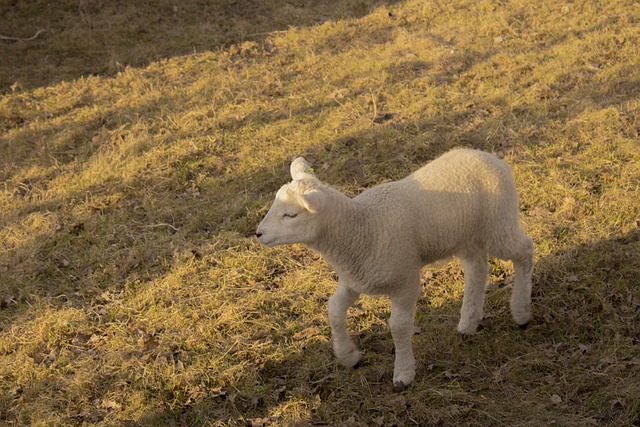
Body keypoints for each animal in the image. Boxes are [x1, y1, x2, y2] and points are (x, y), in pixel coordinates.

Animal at [255, 149, 536, 392]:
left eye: (290, 215)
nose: (258, 233)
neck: (360, 227)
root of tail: (489, 157)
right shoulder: (355, 278)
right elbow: (334, 309)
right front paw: (348, 356)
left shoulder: (405, 281)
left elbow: (398, 326)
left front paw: (403, 373)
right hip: (465, 236)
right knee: (477, 269)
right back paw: (468, 323)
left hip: (498, 224)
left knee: (525, 251)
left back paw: (521, 312)